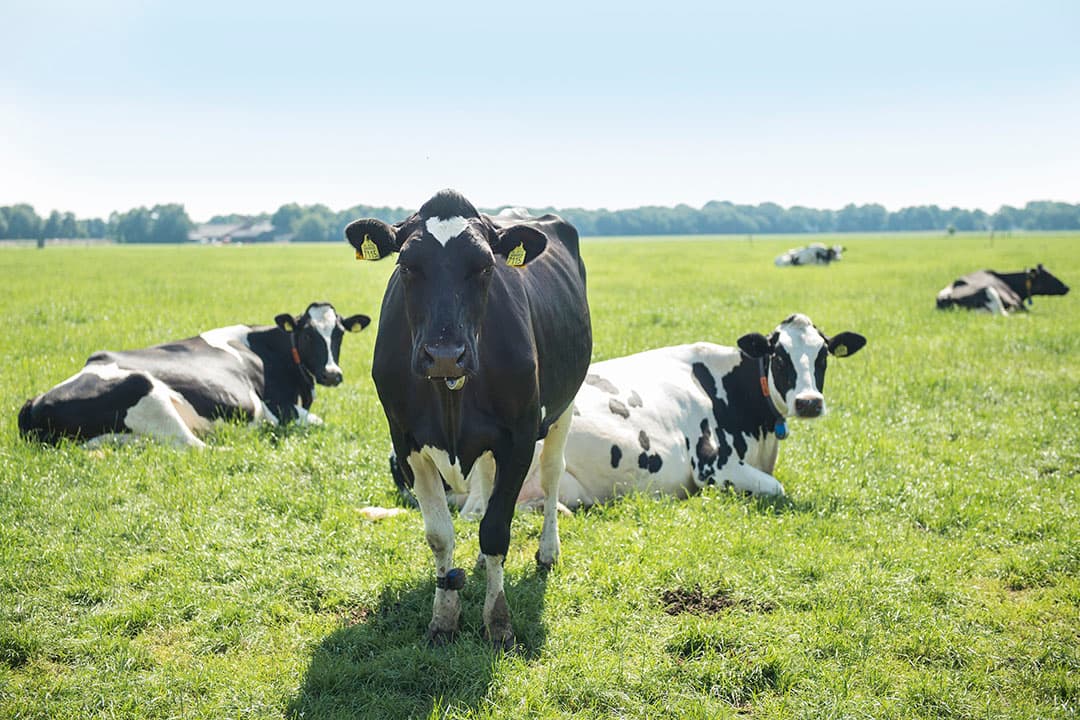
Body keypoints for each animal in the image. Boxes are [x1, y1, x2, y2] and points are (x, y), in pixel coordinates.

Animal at [18, 302, 370, 448]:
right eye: (308, 334)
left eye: (339, 333)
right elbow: (317, 421)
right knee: (194, 446)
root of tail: (36, 401)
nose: (332, 374)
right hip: (145, 390)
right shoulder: (279, 408)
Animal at [346, 189, 591, 650]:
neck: (450, 397)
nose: (445, 355)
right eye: (407, 265)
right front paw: (444, 618)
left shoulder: (519, 437)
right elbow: (440, 534)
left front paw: (498, 622)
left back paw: (548, 551)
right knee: (490, 483)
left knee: (552, 473)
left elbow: (496, 530)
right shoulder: (407, 442)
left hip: (563, 407)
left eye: (485, 266)